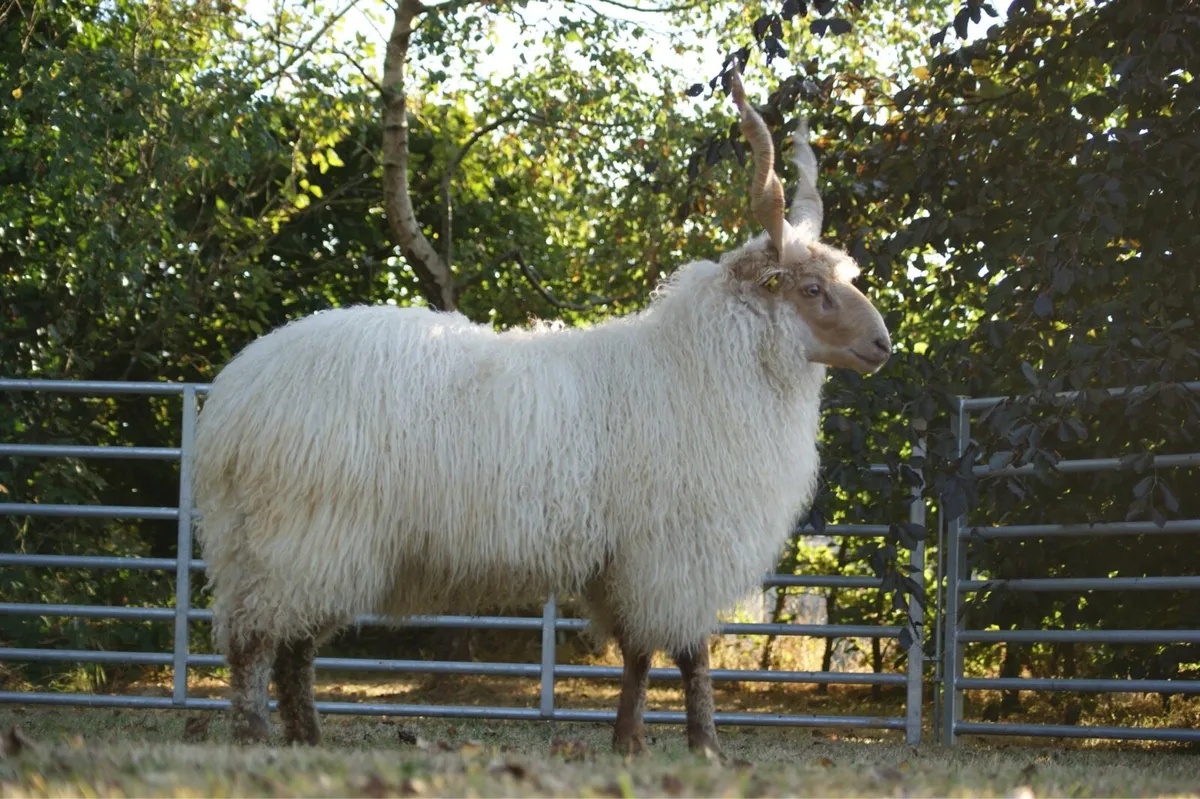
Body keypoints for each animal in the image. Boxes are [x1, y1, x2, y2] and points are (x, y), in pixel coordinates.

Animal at [191, 70, 892, 756]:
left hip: (280, 545)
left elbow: (638, 655)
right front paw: (705, 748)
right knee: (256, 642)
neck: (698, 366)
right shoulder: (672, 551)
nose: (883, 344)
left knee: (291, 647)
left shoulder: (624, 562)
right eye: (811, 289)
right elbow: (690, 656)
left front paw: (628, 742)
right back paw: (255, 739)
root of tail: (232, 404)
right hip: (302, 538)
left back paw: (305, 741)